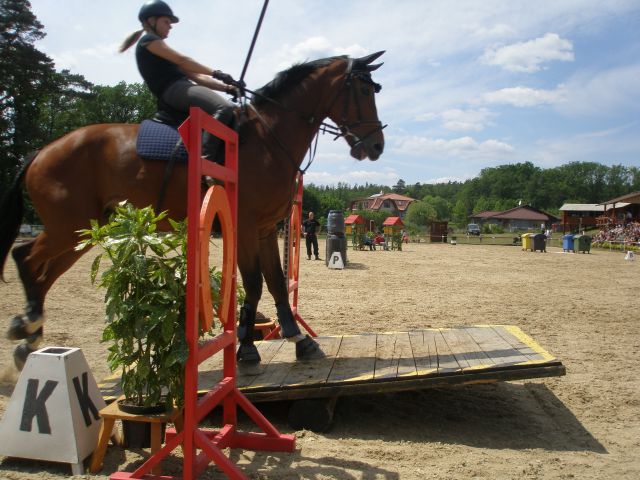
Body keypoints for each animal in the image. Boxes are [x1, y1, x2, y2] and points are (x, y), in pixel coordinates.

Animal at [0, 51, 385, 369]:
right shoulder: (245, 226)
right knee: (25, 258)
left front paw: (298, 339)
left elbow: (276, 281)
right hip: (68, 227)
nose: (377, 146)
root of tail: (41, 151)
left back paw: (28, 336)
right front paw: (247, 347)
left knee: (42, 273)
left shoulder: (264, 229)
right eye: (364, 91)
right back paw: (28, 325)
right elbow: (254, 283)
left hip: (82, 233)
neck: (266, 139)